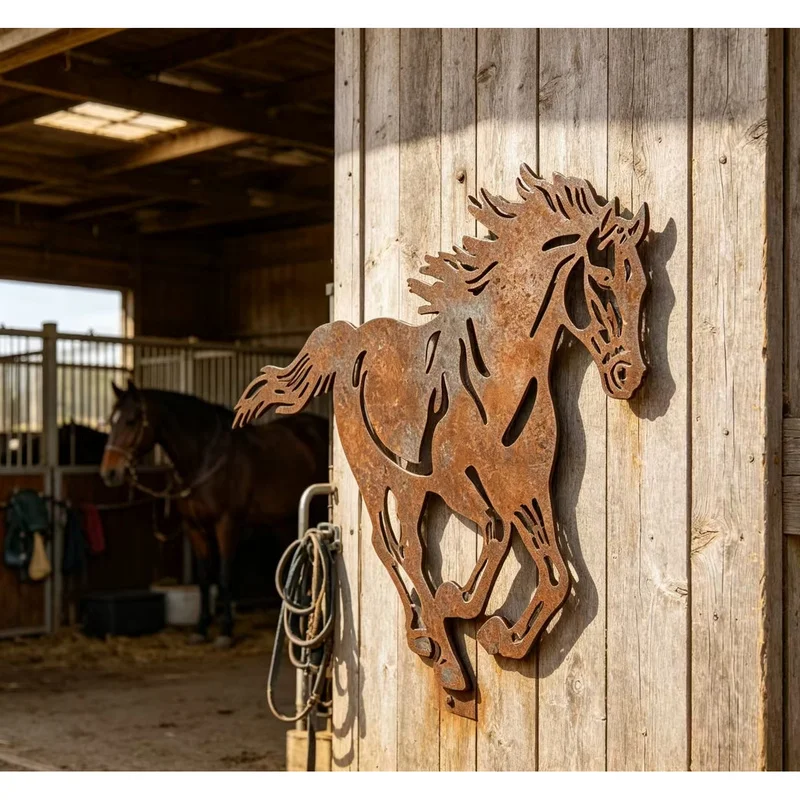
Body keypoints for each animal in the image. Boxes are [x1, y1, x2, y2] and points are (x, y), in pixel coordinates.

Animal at [100, 381, 329, 647]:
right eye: (111, 421)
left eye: (131, 420)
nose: (109, 473)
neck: (203, 458)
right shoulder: (194, 528)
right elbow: (203, 577)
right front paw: (201, 628)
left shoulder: (226, 525)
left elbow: (224, 575)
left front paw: (225, 632)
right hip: (284, 520)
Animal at [233, 170, 649, 693]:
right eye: (603, 280)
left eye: (645, 286)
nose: (629, 375)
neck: (501, 371)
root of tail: (351, 338)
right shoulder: (457, 482)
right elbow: (499, 533)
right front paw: (463, 606)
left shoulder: (528, 483)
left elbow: (554, 571)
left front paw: (501, 636)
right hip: (376, 477)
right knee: (390, 548)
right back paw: (441, 654)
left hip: (411, 486)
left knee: (412, 549)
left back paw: (433, 639)